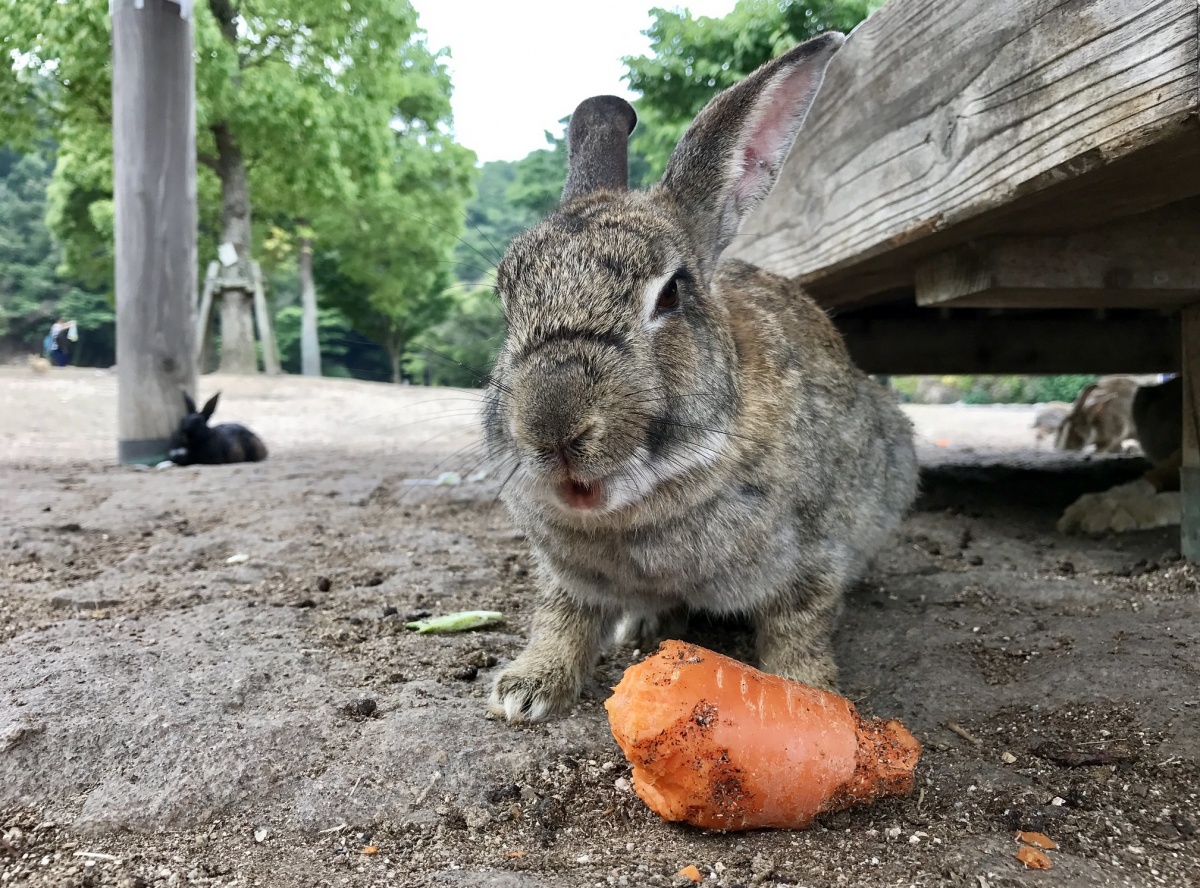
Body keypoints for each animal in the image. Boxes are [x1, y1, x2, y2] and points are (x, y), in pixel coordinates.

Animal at [477, 36, 916, 729]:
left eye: (670, 295)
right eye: (506, 302)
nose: (552, 428)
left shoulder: (812, 556)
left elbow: (798, 628)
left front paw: (813, 700)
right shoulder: (566, 577)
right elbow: (563, 616)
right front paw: (527, 689)